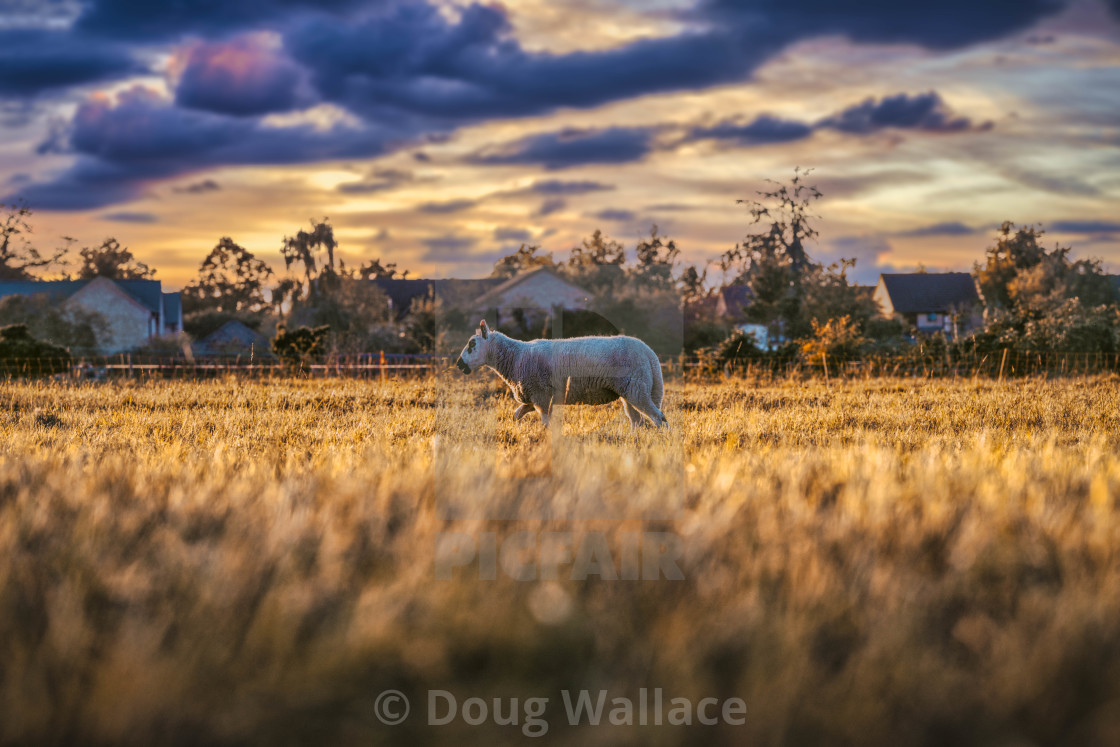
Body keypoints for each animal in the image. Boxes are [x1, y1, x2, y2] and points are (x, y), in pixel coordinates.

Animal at [452, 318, 663, 430]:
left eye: (472, 344)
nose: (459, 364)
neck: (516, 357)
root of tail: (650, 354)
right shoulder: (533, 398)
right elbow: (516, 415)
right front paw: (515, 429)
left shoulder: (541, 396)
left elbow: (545, 423)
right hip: (631, 391)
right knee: (637, 420)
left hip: (637, 390)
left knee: (658, 418)